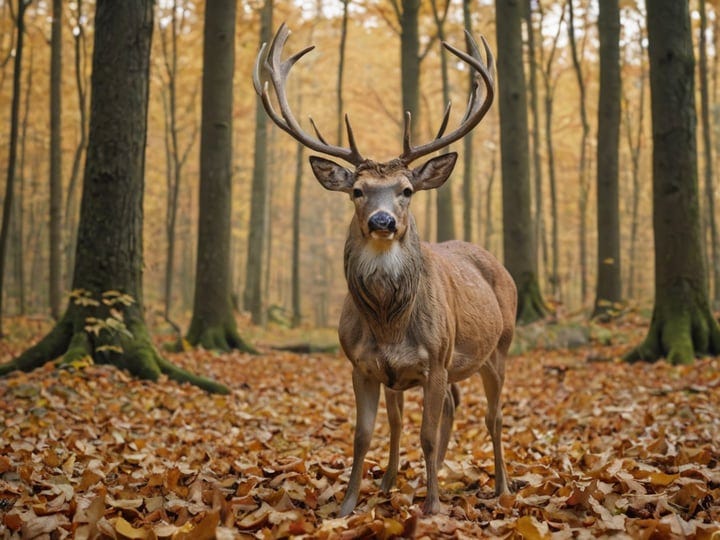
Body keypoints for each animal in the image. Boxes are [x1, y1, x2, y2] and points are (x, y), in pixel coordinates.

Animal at [256, 23, 516, 516]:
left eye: (407, 190)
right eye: (357, 190)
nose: (382, 221)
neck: (389, 322)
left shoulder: (436, 357)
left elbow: (427, 436)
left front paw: (433, 508)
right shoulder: (362, 364)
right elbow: (363, 436)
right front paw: (347, 505)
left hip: (499, 346)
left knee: (493, 416)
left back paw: (502, 487)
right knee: (434, 410)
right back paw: (396, 481)